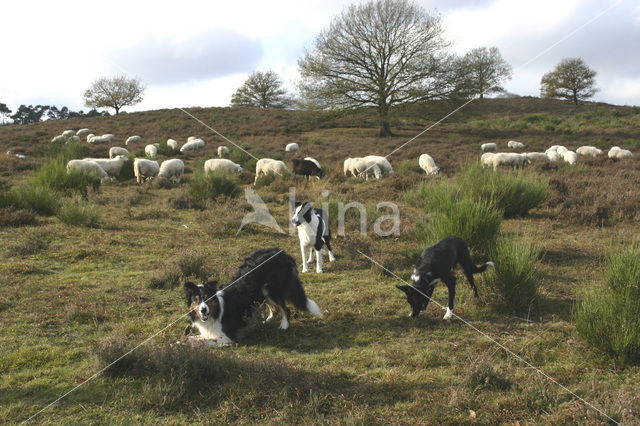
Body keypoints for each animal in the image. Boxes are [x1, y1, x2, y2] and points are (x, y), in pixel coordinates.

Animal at [185, 248, 324, 344]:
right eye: (196, 300)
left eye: (207, 298)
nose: (203, 310)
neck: (215, 312)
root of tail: (283, 253)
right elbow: (193, 338)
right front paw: (183, 342)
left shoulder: (227, 337)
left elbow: (206, 342)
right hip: (262, 292)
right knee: (274, 309)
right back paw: (266, 321)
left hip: (271, 290)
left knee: (285, 309)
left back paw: (284, 326)